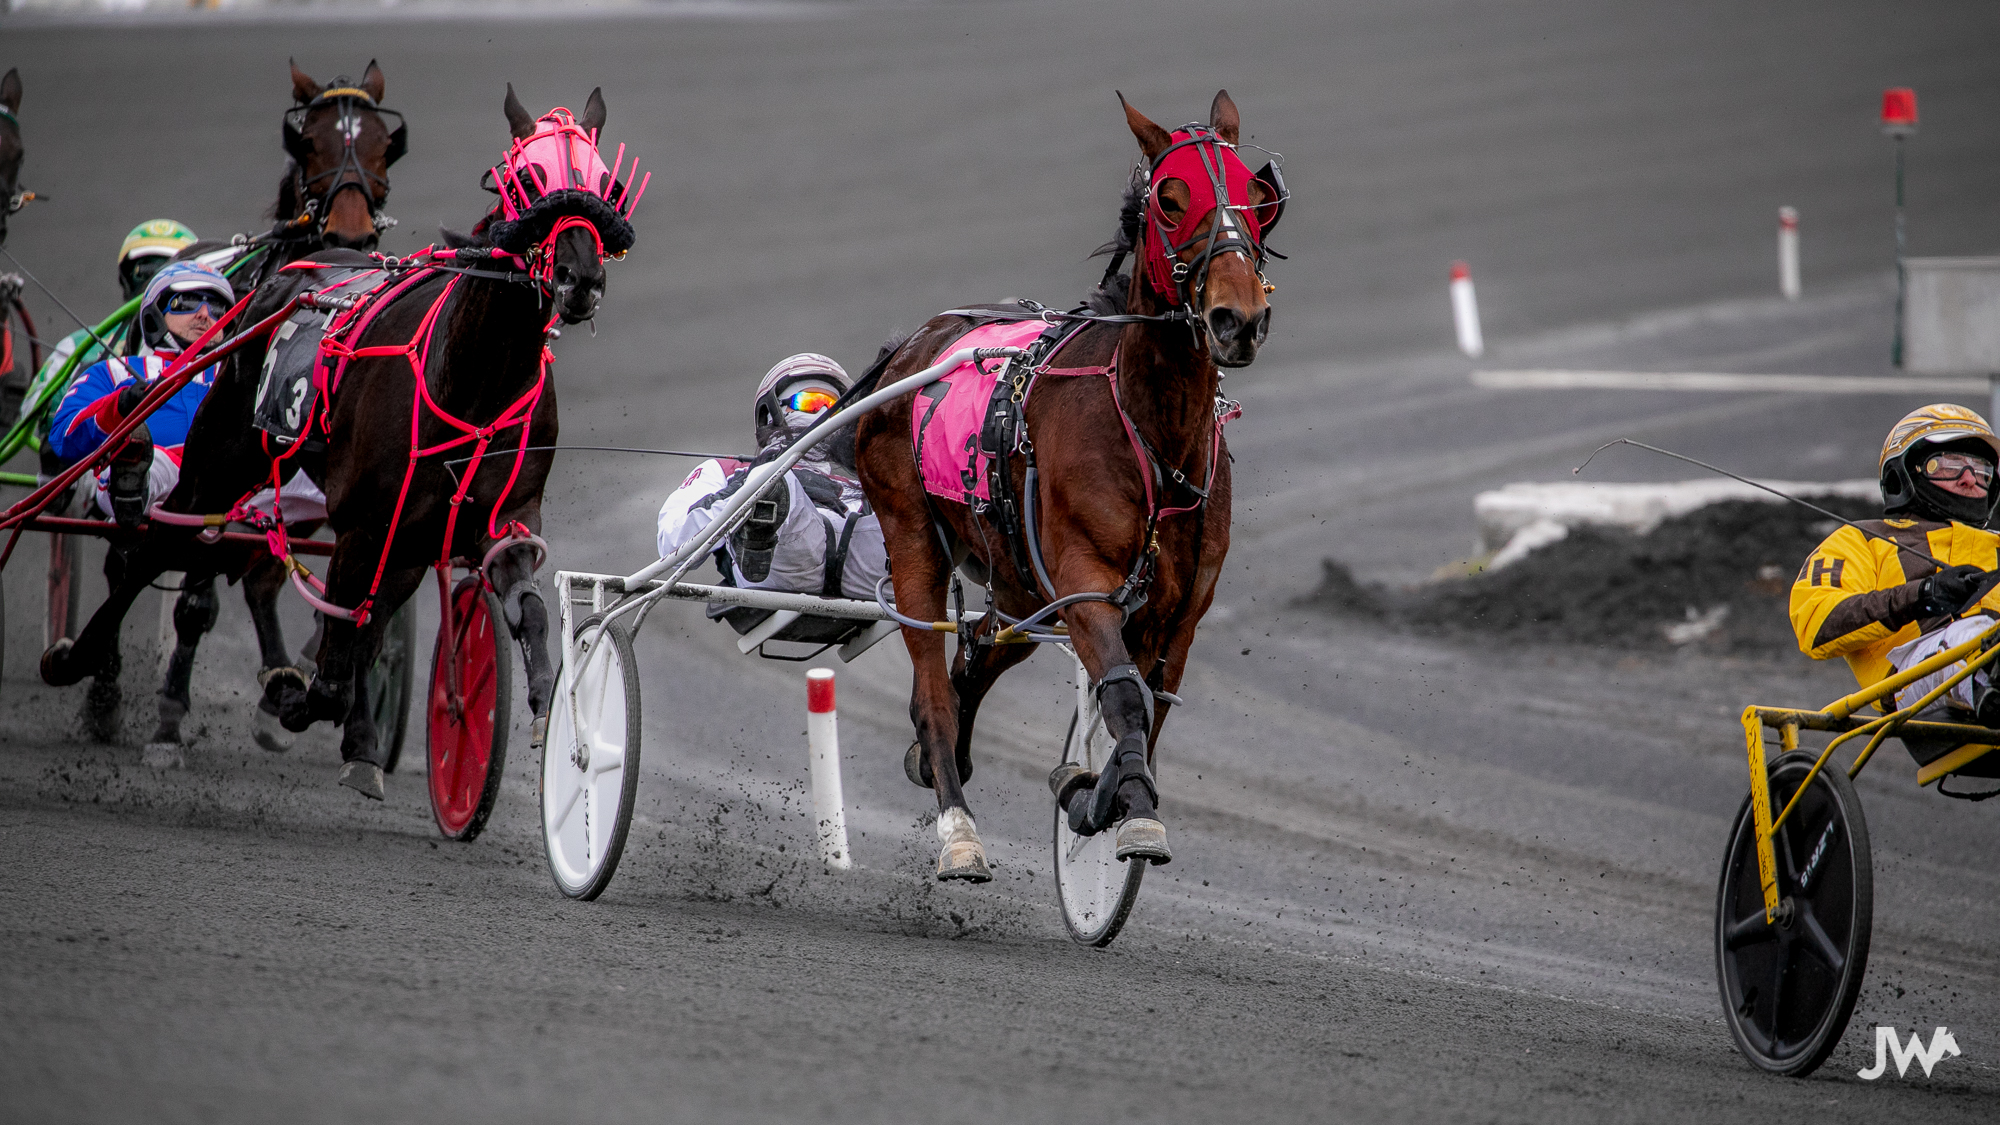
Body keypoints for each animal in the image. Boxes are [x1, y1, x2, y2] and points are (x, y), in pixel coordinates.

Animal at [41, 86, 637, 801]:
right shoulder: (365, 522)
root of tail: (294, 273)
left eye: (604, 184)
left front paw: (552, 707)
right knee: (160, 542)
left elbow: (520, 611)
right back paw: (84, 654)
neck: (473, 381)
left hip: (396, 538)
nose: (581, 279)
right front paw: (296, 697)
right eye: (526, 178)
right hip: (223, 455)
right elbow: (332, 658)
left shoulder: (498, 520)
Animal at [852, 91, 1282, 880]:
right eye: (1170, 199)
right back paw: (957, 825)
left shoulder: (1181, 611)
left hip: (1019, 579)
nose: (1239, 318)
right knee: (931, 685)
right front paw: (1123, 812)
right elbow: (1124, 696)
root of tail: (912, 347)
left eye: (1256, 198)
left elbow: (1150, 699)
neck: (1152, 432)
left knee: (981, 648)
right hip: (913, 538)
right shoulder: (1084, 578)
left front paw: (1094, 794)